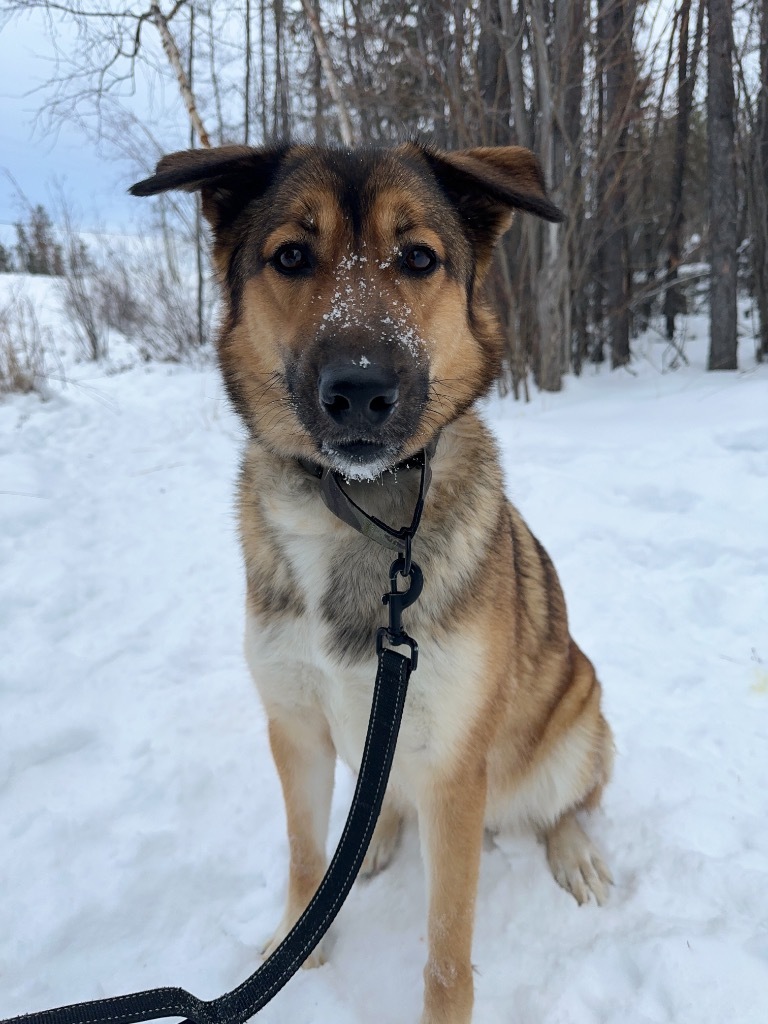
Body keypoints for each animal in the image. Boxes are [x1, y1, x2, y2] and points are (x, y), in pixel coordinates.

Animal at [132, 144, 614, 1024]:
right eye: (292, 256)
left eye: (418, 258)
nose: (358, 388)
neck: (356, 514)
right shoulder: (295, 728)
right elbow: (303, 855)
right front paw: (300, 944)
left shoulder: (455, 768)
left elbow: (447, 954)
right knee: (379, 805)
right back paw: (376, 840)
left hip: (579, 712)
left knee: (564, 806)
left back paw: (574, 853)